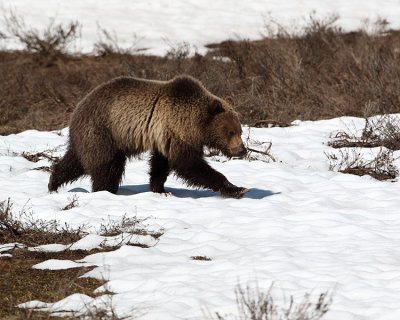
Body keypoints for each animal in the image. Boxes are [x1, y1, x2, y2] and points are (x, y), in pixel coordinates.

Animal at [48, 76, 248, 199]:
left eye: (240, 131)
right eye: (230, 131)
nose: (242, 150)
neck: (196, 124)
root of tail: (78, 107)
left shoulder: (164, 138)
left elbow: (161, 165)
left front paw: (159, 190)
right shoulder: (177, 131)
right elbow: (188, 164)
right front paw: (237, 189)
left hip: (95, 137)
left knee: (74, 161)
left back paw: (53, 183)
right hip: (102, 130)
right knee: (107, 166)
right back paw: (105, 191)